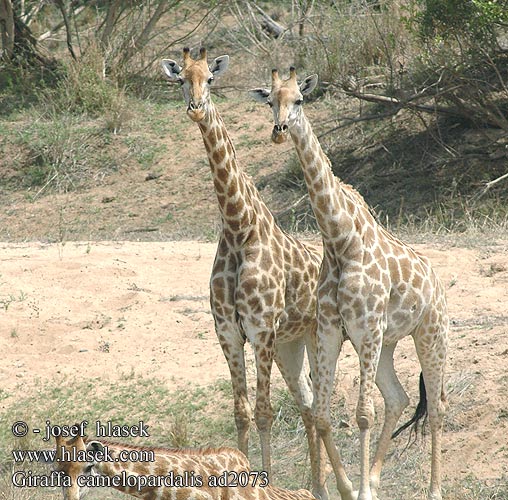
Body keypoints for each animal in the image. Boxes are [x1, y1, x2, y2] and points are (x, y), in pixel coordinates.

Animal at [163, 47, 330, 500]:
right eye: (181, 79)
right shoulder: (227, 331)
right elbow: (240, 412)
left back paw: (321, 484)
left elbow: (264, 411)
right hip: (292, 344)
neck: (240, 228)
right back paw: (316, 485)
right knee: (307, 402)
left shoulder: (261, 329)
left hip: (312, 336)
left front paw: (265, 482)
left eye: (210, 79)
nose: (196, 108)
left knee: (319, 402)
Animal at [250, 68, 448, 500]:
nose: (279, 130)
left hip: (430, 334)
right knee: (398, 397)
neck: (339, 239)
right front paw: (350, 488)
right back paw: (373, 479)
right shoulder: (330, 330)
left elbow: (361, 415)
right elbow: (324, 415)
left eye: (299, 100)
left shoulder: (366, 326)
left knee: (437, 406)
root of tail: (438, 284)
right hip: (388, 343)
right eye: (270, 100)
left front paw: (361, 492)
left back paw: (433, 491)